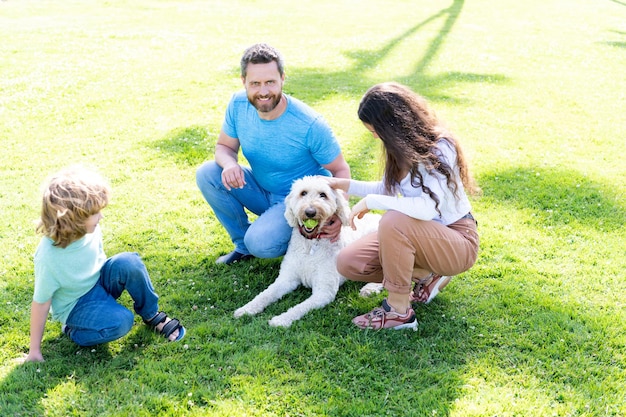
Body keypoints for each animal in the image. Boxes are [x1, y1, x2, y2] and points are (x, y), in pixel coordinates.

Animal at [233, 174, 380, 326]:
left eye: (323, 195)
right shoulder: (286, 279)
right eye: (303, 193)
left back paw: (369, 288)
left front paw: (281, 319)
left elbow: (300, 307)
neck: (310, 244)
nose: (310, 212)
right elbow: (266, 294)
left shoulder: (323, 292)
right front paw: (247, 308)